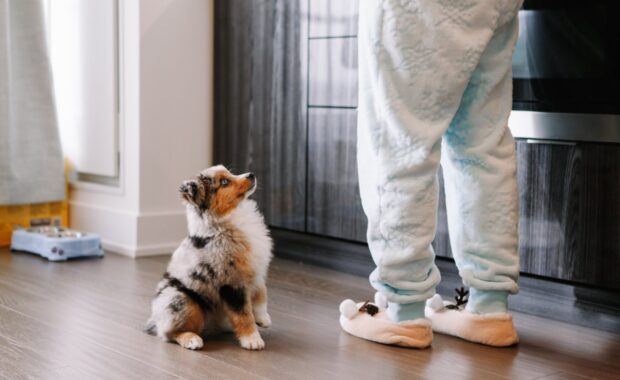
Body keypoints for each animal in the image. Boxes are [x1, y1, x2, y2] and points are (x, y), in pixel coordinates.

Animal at [147, 166, 272, 350]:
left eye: (230, 173)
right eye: (224, 182)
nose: (251, 175)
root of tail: (155, 320)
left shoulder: (255, 270)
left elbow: (262, 293)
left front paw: (263, 318)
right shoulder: (232, 282)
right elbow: (242, 314)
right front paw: (252, 340)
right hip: (183, 300)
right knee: (169, 333)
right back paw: (192, 339)